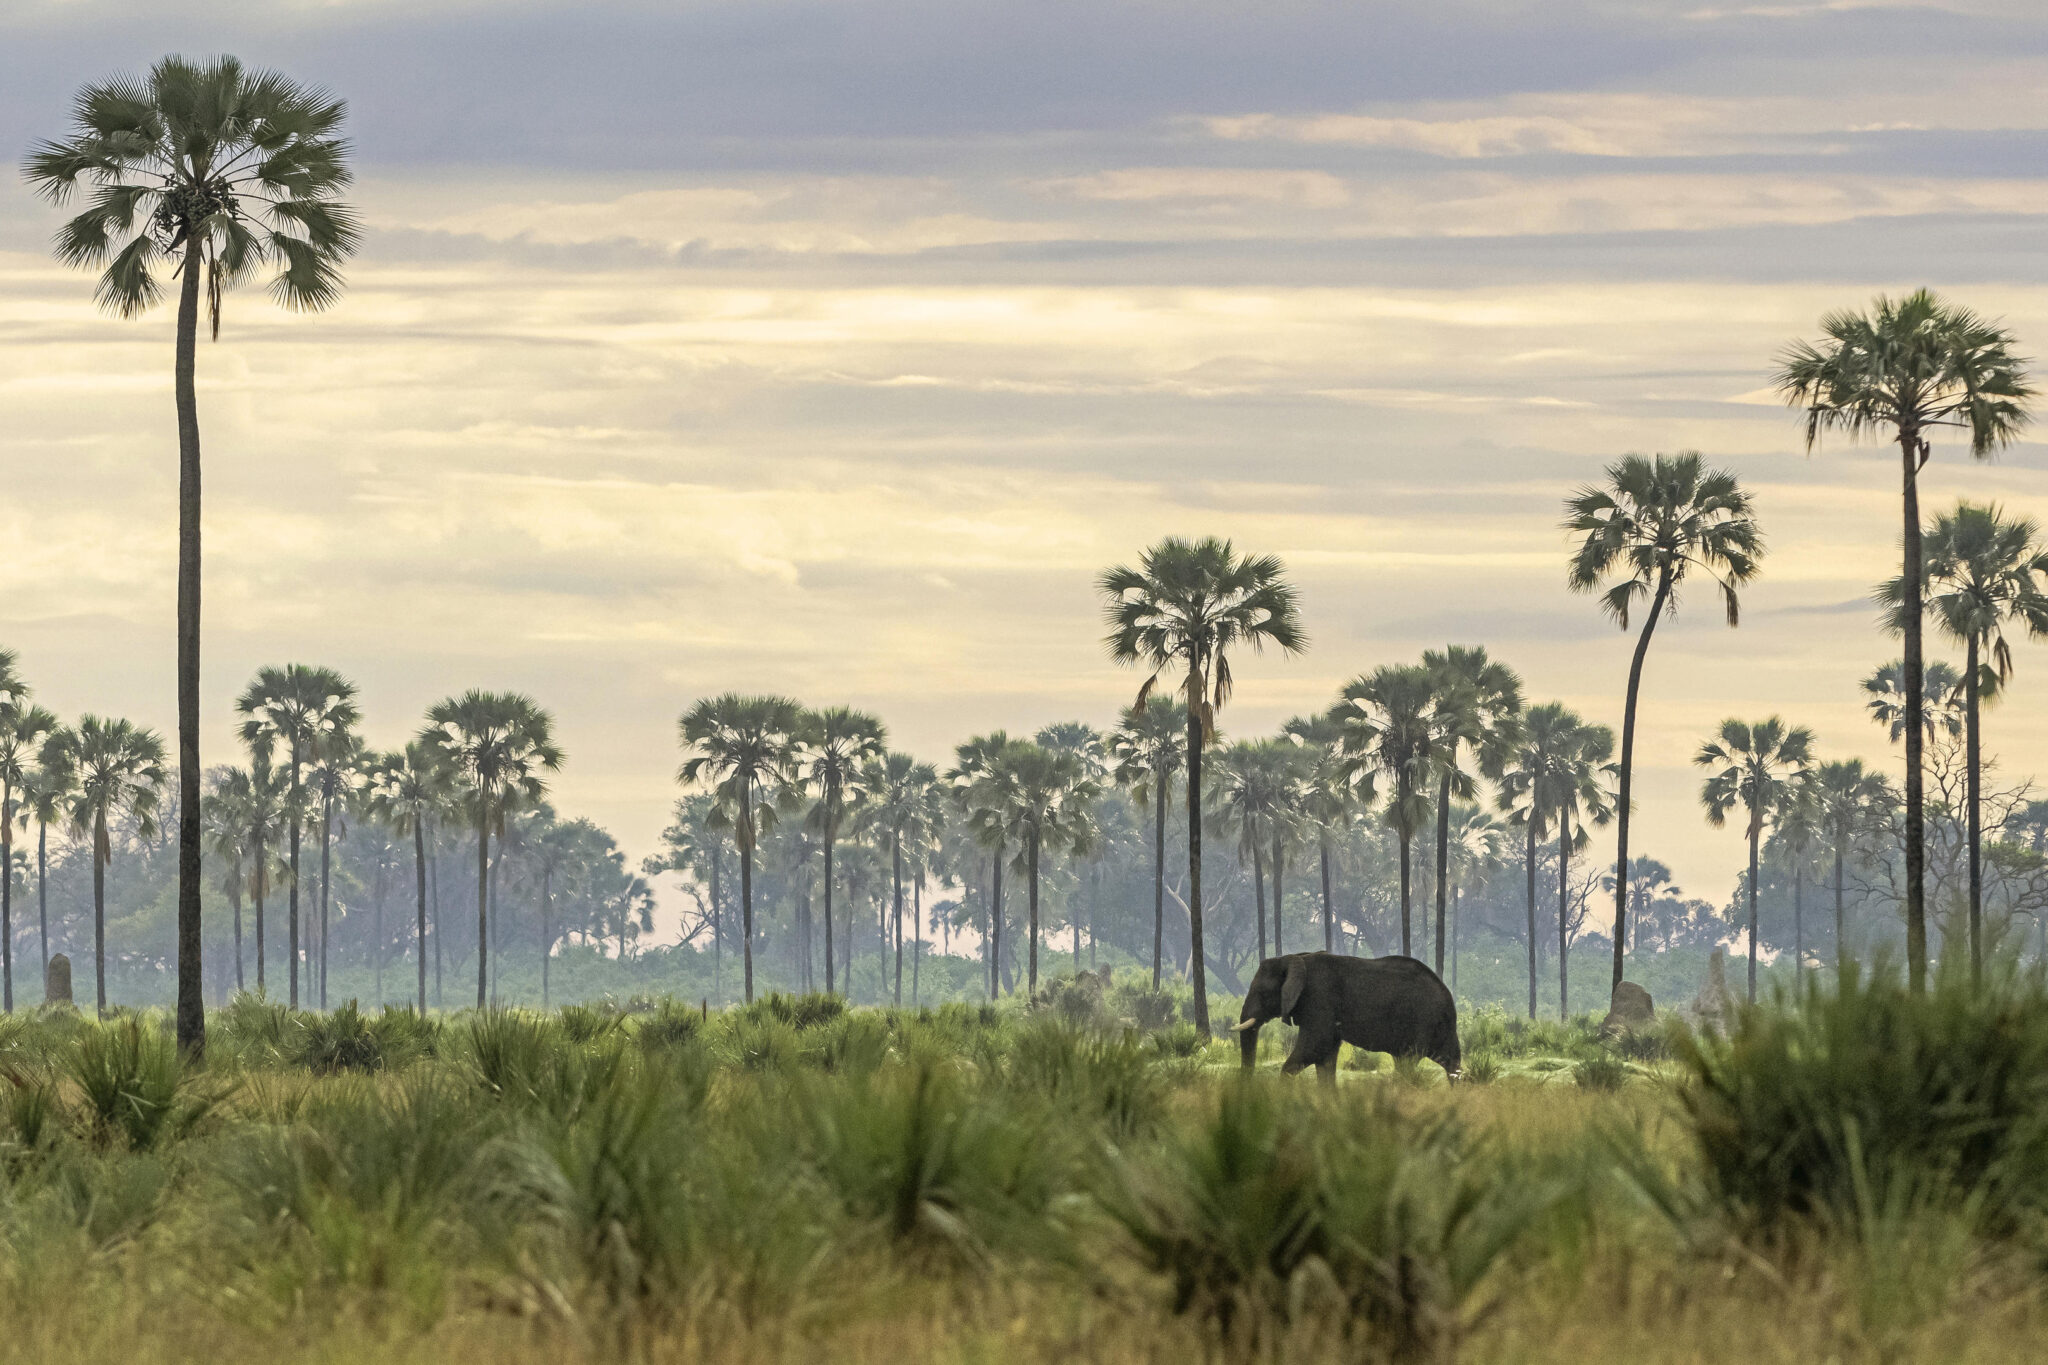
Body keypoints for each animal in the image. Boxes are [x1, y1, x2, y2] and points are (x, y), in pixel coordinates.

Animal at [1235, 951, 1461, 1082]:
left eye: (1263, 993)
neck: (1293, 958)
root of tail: (1447, 994)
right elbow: (1325, 1057)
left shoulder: (1319, 997)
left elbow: (1315, 1045)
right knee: (1449, 1061)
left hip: (1423, 1019)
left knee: (1408, 1060)